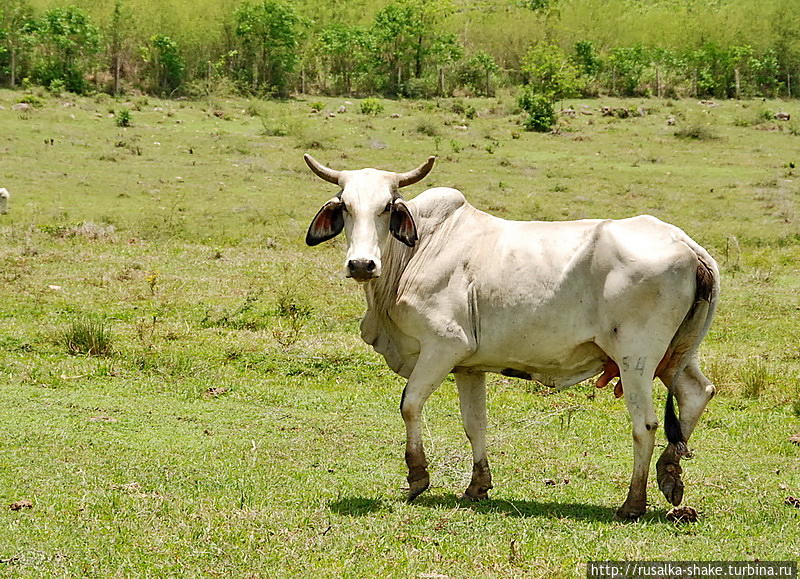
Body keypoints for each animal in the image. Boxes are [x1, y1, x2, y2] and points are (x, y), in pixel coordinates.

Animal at [304, 154, 716, 520]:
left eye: (388, 207)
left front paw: (417, 477)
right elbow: (475, 423)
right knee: (697, 393)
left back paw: (633, 503)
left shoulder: (443, 347)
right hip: (676, 355)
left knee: (645, 424)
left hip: (636, 360)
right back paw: (669, 475)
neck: (419, 249)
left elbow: (410, 404)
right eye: (345, 206)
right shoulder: (468, 366)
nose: (361, 264)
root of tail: (686, 245)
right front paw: (477, 486)